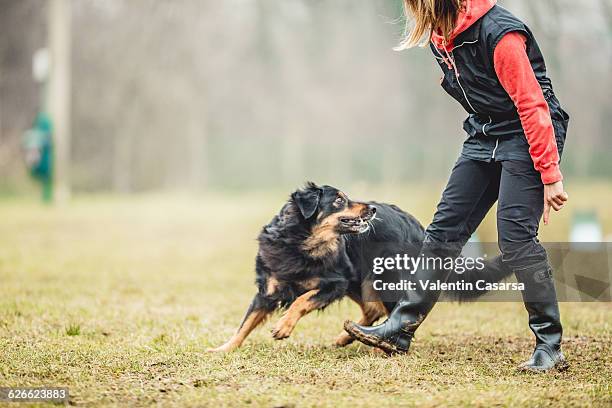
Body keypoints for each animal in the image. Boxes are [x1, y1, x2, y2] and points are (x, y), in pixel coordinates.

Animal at [209, 181, 512, 350]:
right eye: (339, 200)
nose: (372, 209)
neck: (301, 242)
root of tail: (418, 227)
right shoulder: (268, 289)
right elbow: (246, 322)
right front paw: (225, 349)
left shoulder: (334, 283)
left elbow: (301, 300)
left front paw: (284, 326)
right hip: (361, 279)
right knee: (373, 309)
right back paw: (348, 337)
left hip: (383, 277)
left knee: (393, 310)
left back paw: (381, 346)